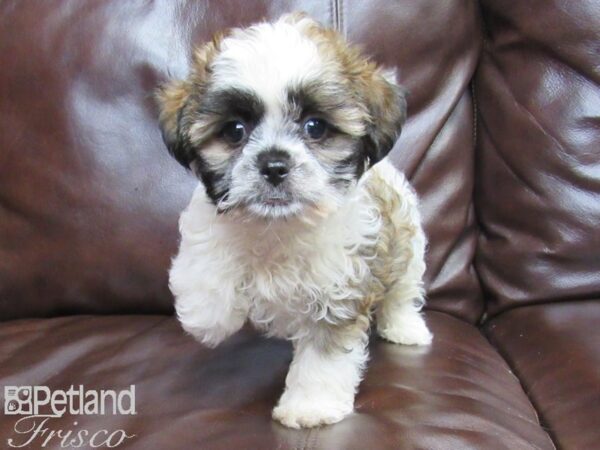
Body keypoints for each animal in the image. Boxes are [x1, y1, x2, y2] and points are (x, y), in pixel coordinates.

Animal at [157, 12, 434, 428]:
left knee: (402, 291)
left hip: (407, 242)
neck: (280, 227)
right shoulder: (208, 221)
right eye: (235, 130)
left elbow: (324, 353)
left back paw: (406, 328)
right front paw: (206, 315)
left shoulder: (340, 288)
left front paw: (310, 406)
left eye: (315, 127)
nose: (273, 165)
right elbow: (203, 261)